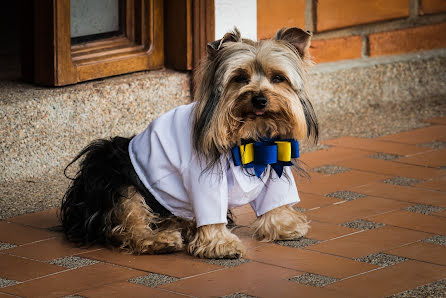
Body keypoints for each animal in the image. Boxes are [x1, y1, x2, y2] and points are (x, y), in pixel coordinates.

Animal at [60, 26, 318, 258]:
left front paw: (285, 226)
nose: (260, 99)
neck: (249, 140)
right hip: (116, 181)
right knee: (126, 224)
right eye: (239, 78)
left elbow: (275, 201)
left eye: (278, 78)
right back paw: (159, 240)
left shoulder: (275, 157)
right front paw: (221, 245)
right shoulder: (204, 179)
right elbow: (210, 212)